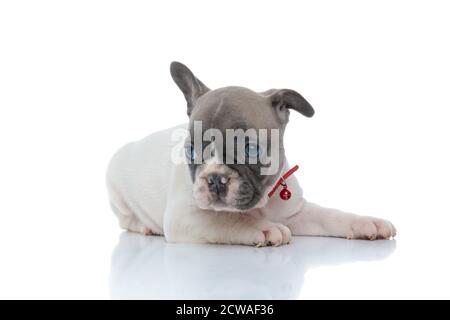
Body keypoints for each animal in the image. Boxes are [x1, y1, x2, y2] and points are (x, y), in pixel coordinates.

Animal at [106, 62, 398, 248]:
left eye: (250, 149)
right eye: (190, 150)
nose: (214, 178)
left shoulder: (296, 213)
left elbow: (331, 216)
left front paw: (366, 223)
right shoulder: (185, 217)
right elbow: (226, 220)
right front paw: (261, 227)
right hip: (116, 189)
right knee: (126, 219)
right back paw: (145, 226)